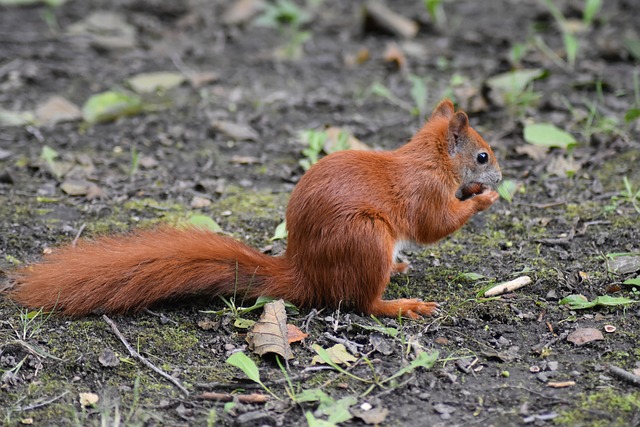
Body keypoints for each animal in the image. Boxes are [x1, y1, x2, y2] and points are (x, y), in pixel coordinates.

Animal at [7, 100, 502, 320]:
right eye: (482, 156)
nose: (498, 177)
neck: (431, 159)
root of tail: (304, 273)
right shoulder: (425, 193)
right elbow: (435, 225)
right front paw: (484, 198)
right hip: (366, 239)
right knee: (362, 303)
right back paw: (401, 304)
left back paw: (398, 272)